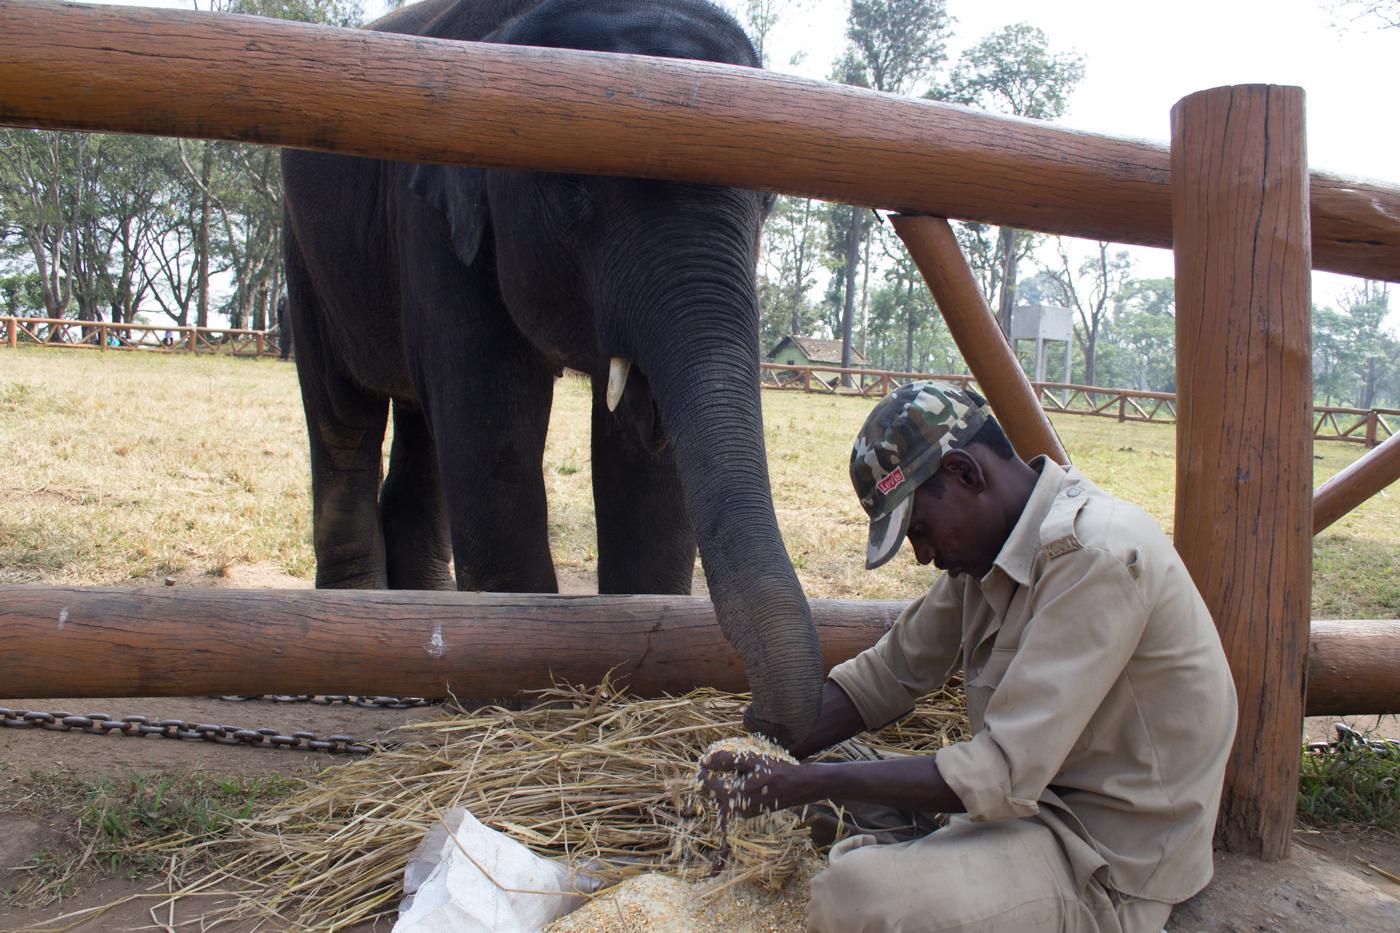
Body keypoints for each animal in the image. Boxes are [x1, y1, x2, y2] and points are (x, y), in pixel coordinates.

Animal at [280, 0, 822, 744]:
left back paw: (427, 619)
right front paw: (518, 694)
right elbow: (494, 417)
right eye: (575, 190)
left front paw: (646, 663)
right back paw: (360, 633)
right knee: (344, 416)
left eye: (769, 201)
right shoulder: (435, 215)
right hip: (305, 253)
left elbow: (640, 452)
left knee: (423, 431)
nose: (763, 720)